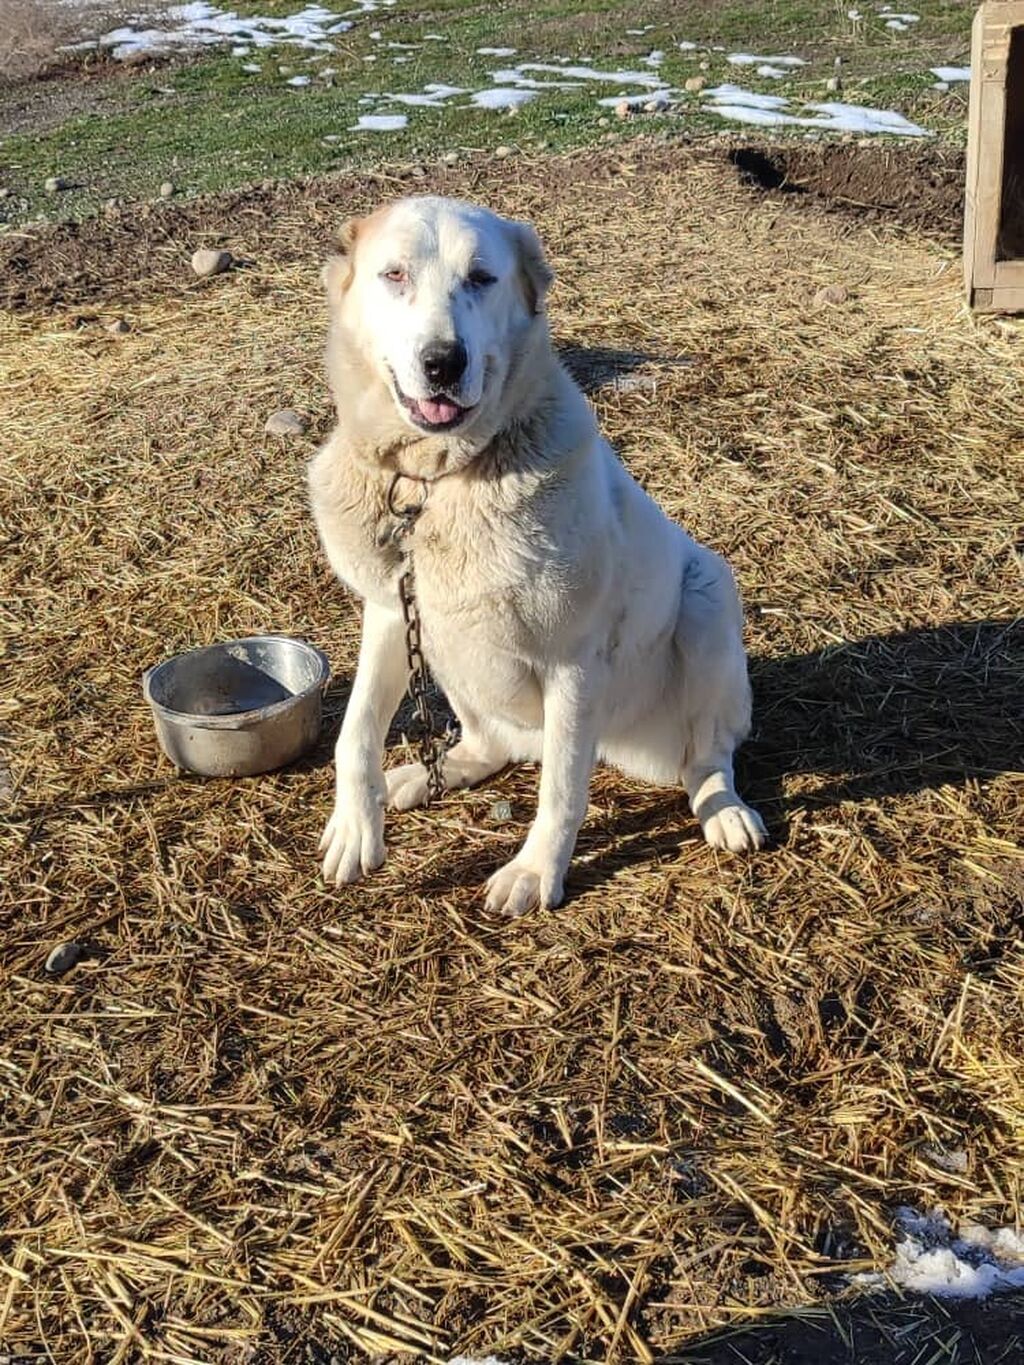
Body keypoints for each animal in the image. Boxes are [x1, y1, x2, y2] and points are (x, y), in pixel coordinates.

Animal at [308, 195, 764, 917]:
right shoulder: (390, 613)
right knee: (491, 742)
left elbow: (561, 791)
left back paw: (724, 810)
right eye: (395, 275)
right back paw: (432, 774)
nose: (444, 361)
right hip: (447, 648)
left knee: (707, 755)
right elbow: (354, 732)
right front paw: (357, 827)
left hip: (709, 595)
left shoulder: (573, 663)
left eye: (481, 279)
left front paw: (534, 871)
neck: (435, 483)